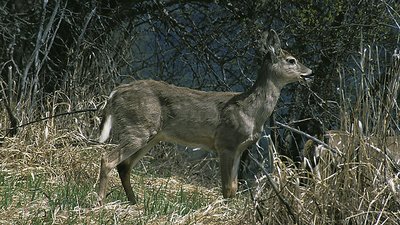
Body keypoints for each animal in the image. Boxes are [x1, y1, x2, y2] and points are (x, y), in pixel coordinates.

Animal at [96, 29, 312, 204]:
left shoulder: (240, 148)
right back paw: (100, 203)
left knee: (124, 165)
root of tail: (115, 93)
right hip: (137, 129)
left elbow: (234, 188)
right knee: (108, 159)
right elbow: (227, 188)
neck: (250, 110)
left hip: (151, 135)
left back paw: (135, 203)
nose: (309, 73)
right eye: (291, 60)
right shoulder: (225, 143)